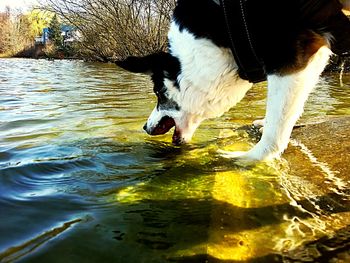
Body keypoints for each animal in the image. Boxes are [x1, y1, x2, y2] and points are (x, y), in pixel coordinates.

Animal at [117, 0, 350, 162]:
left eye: (158, 93)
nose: (145, 127)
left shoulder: (288, 56)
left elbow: (276, 124)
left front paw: (248, 158)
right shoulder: (311, 53)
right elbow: (285, 113)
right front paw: (264, 124)